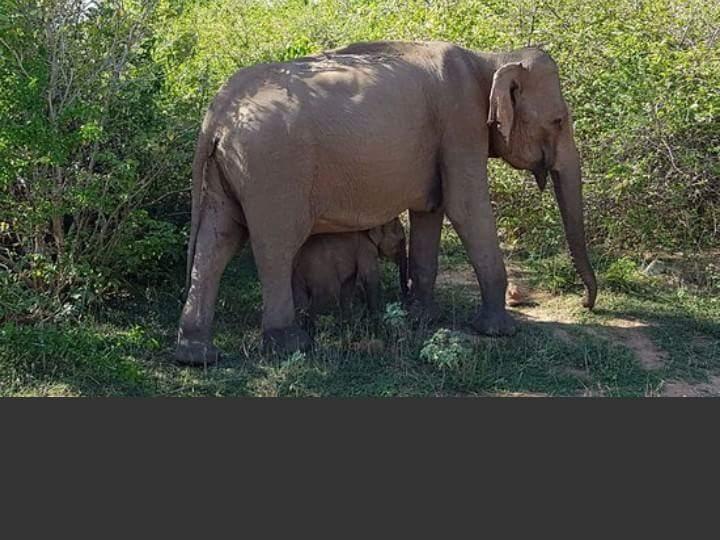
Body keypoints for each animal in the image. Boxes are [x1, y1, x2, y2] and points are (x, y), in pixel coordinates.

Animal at [173, 41, 596, 362]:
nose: (587, 304)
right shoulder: (460, 125)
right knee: (275, 247)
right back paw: (290, 345)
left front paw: (421, 319)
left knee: (216, 241)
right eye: (559, 121)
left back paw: (196, 354)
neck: (489, 58)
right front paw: (499, 332)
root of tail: (217, 115)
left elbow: (430, 211)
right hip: (272, 170)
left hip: (228, 170)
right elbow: (466, 208)